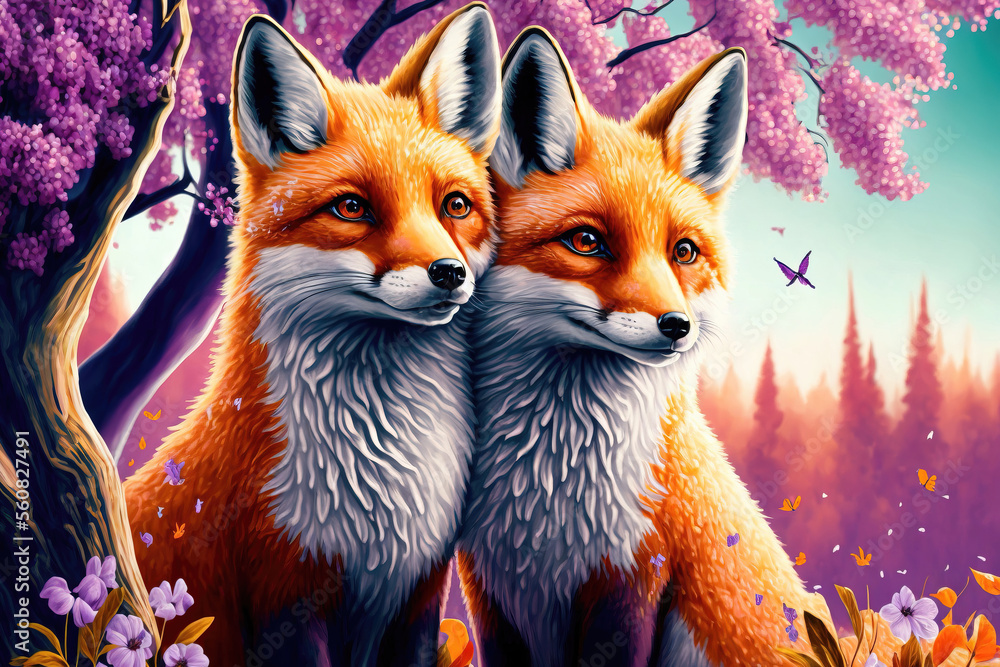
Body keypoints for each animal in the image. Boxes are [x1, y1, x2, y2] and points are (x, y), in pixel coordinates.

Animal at [456, 28, 833, 667]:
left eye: (683, 251)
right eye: (587, 241)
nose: (676, 326)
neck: (552, 489)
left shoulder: (634, 578)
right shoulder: (486, 584)